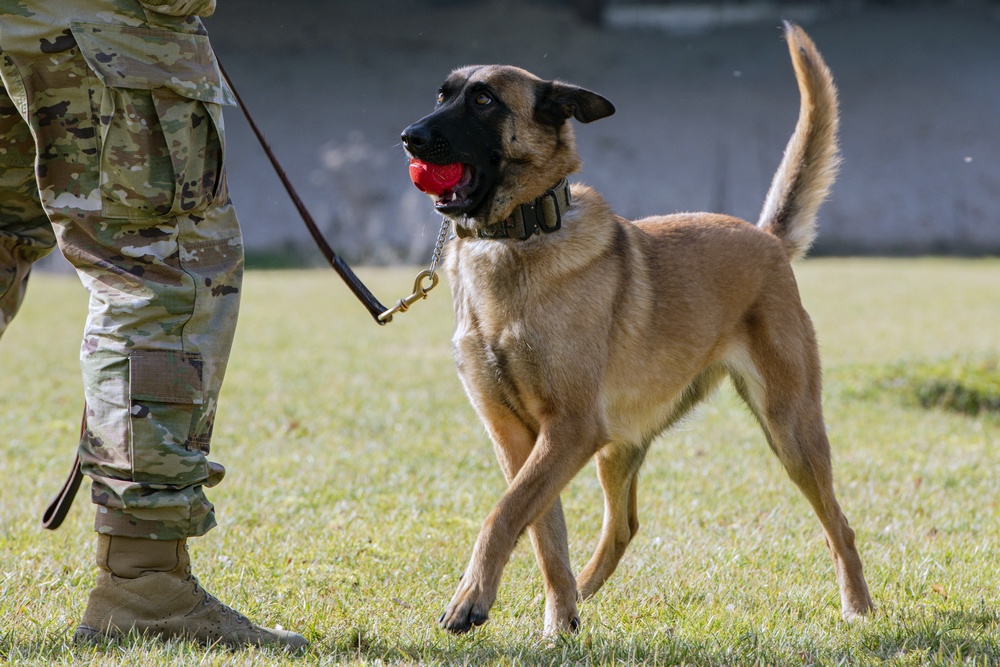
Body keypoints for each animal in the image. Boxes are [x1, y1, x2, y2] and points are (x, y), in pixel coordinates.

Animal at [402, 22, 872, 636]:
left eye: (483, 101)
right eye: (442, 95)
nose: (408, 137)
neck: (516, 237)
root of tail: (766, 237)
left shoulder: (569, 428)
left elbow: (503, 514)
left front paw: (469, 600)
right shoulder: (519, 437)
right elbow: (542, 532)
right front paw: (557, 622)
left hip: (790, 429)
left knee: (839, 525)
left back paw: (858, 607)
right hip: (619, 445)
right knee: (622, 528)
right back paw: (578, 600)